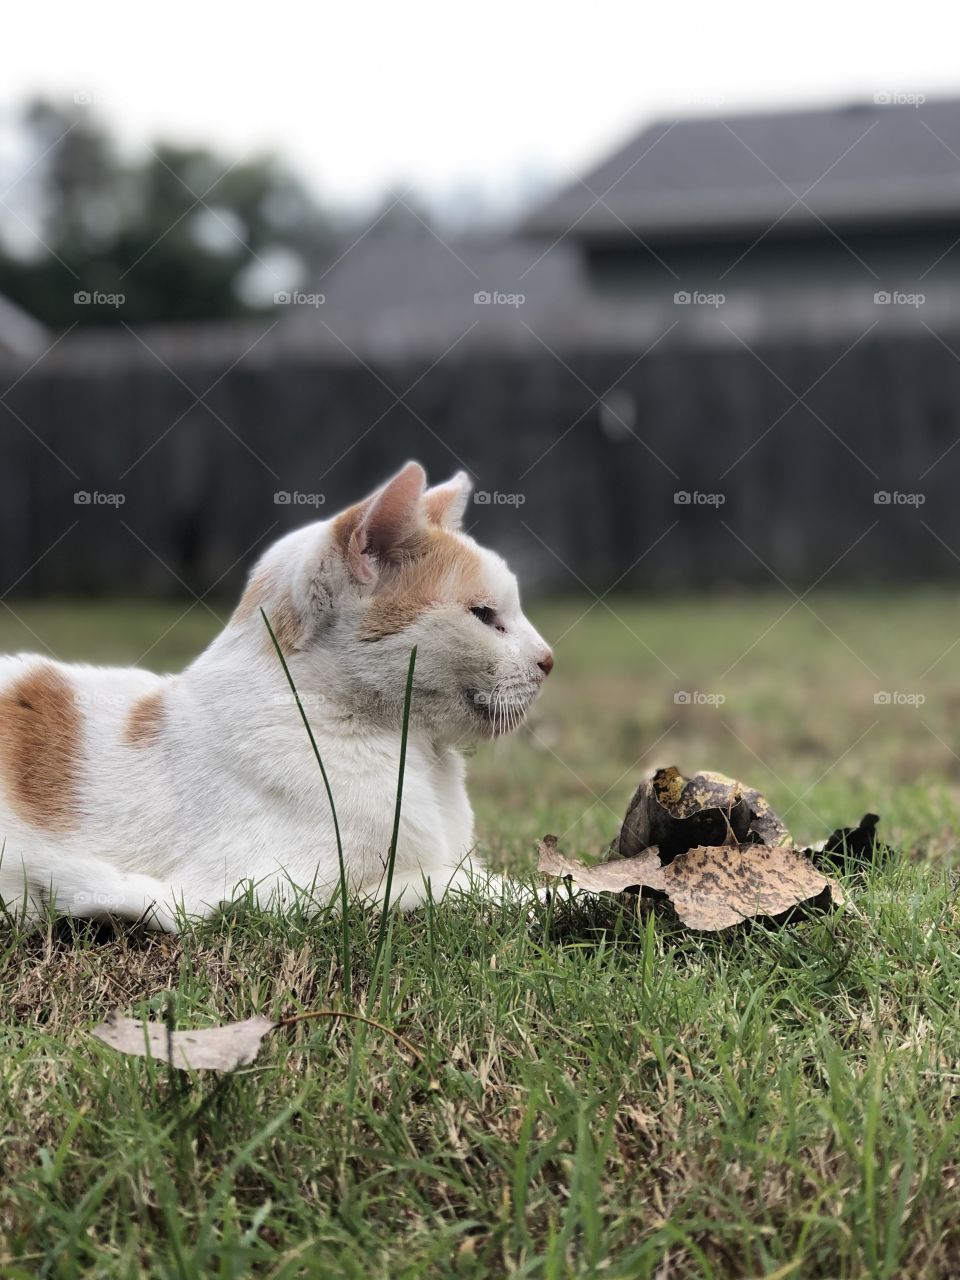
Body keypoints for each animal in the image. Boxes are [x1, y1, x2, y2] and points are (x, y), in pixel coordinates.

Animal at [0, 460, 555, 931]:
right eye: (484, 615)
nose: (548, 660)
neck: (418, 756)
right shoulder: (262, 894)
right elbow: (455, 886)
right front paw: (555, 896)